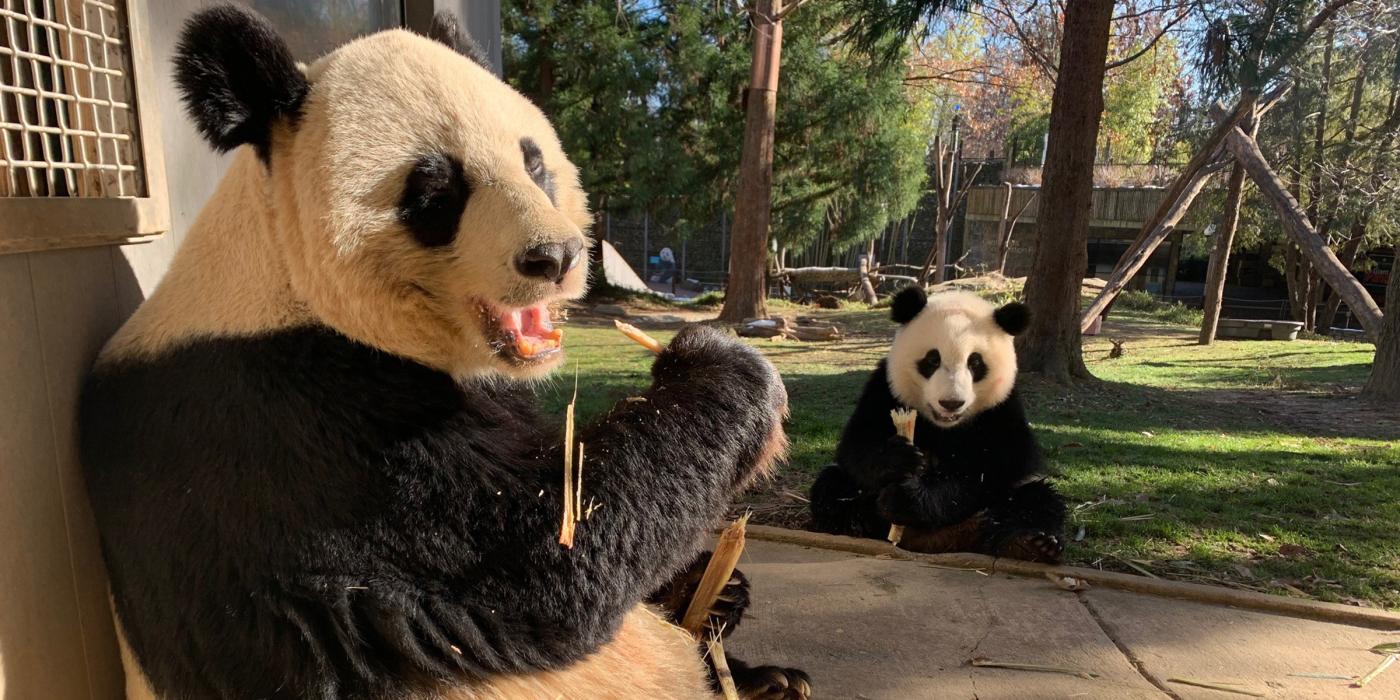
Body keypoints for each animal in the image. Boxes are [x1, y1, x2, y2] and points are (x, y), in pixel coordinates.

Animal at [79, 6, 812, 700]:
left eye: (533, 162)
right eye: (436, 193)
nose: (555, 257)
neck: (284, 283)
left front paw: (717, 585)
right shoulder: (288, 434)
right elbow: (543, 559)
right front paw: (724, 369)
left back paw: (770, 676)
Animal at [806, 284, 1064, 562]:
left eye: (975, 362)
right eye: (932, 360)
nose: (951, 403)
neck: (944, 426)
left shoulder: (1002, 408)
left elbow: (990, 469)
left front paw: (906, 498)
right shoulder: (885, 389)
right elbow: (858, 444)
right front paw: (898, 459)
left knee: (1037, 500)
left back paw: (1030, 543)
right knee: (832, 484)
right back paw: (853, 523)